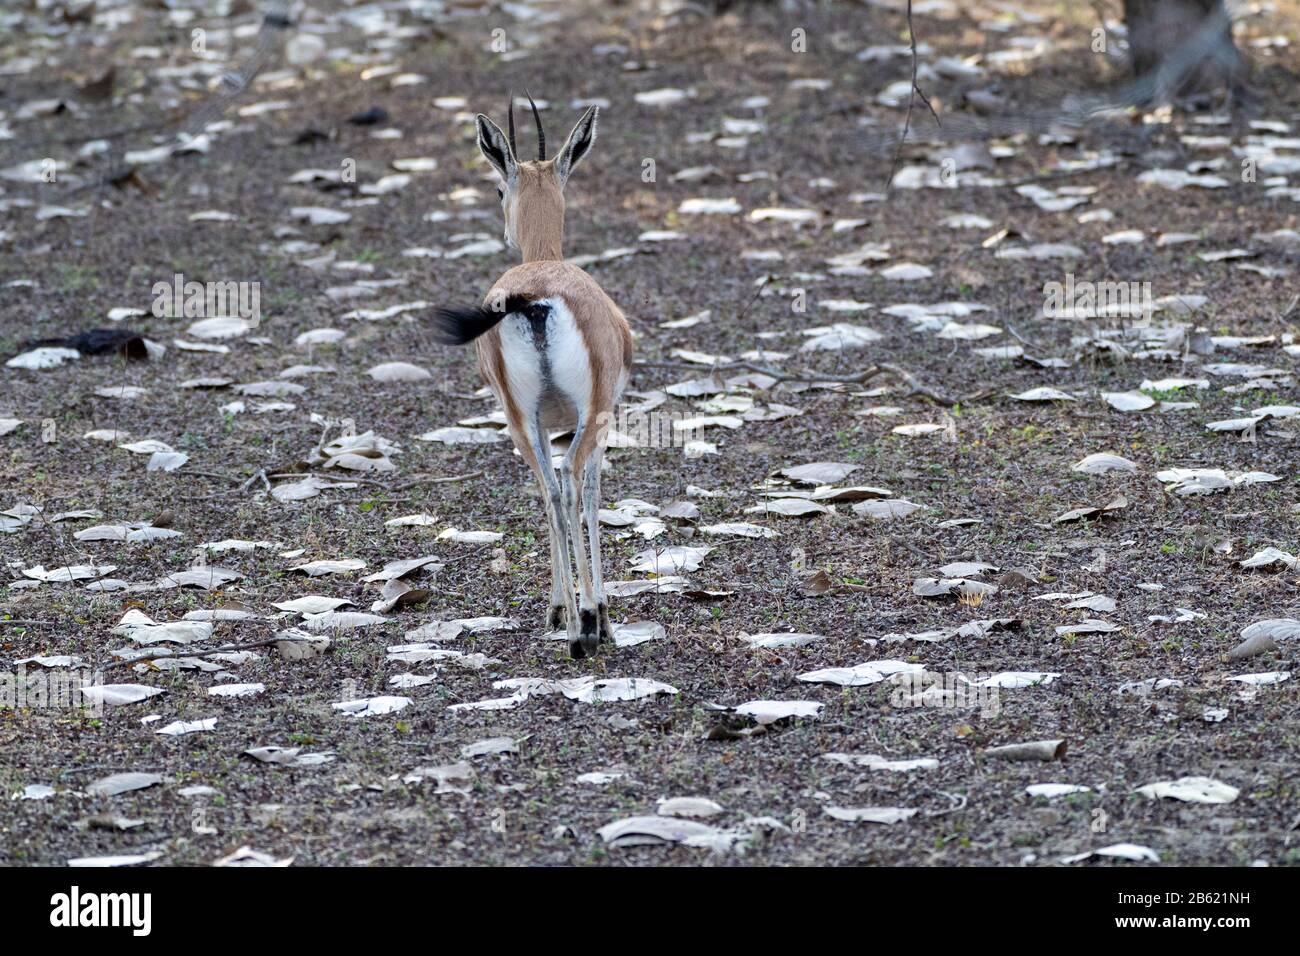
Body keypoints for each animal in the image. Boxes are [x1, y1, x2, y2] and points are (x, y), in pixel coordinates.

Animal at [433, 95, 633, 659]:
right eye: (500, 188)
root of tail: (535, 297)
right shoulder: (601, 417)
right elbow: (592, 495)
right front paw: (597, 613)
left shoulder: (544, 421)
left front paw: (559, 608)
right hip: (586, 416)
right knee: (568, 479)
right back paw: (587, 628)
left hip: (518, 418)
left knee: (548, 489)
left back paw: (568, 622)